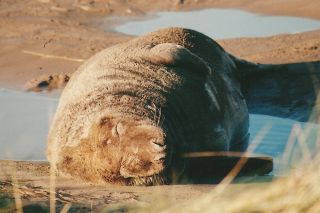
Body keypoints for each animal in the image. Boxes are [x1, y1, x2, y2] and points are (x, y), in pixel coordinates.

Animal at [46, 27, 318, 185]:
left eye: (117, 129)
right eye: (122, 167)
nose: (158, 148)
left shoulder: (137, 55)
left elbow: (172, 53)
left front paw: (205, 70)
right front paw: (265, 163)